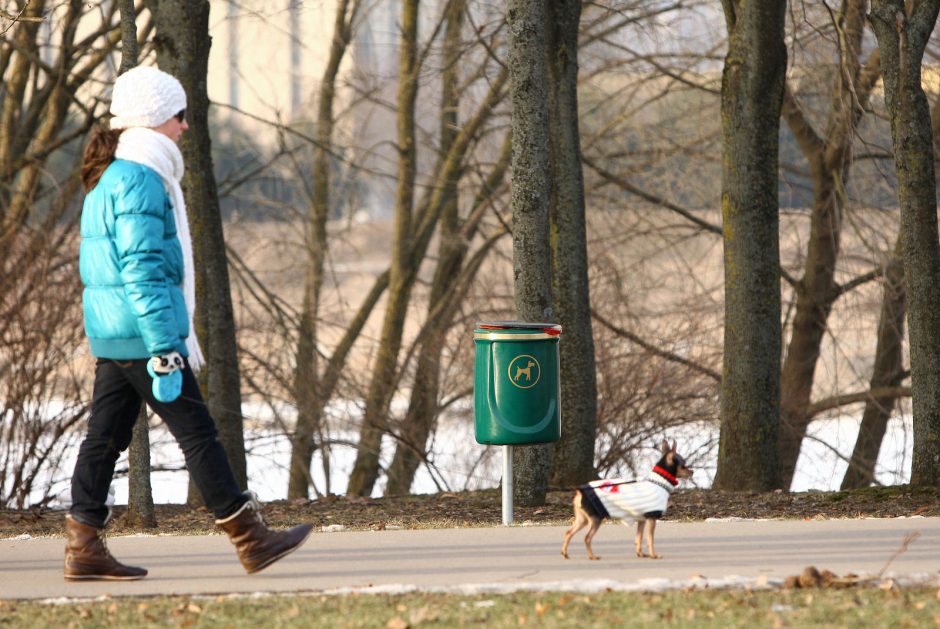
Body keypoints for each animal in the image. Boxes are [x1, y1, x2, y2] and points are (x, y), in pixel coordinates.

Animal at [560, 436, 692, 560]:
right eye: (683, 465)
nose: (692, 472)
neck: (659, 480)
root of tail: (581, 491)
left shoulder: (642, 520)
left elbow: (639, 538)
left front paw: (641, 554)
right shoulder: (652, 517)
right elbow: (650, 539)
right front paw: (653, 555)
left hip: (582, 519)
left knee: (568, 533)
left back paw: (565, 554)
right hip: (595, 519)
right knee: (587, 538)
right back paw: (592, 556)